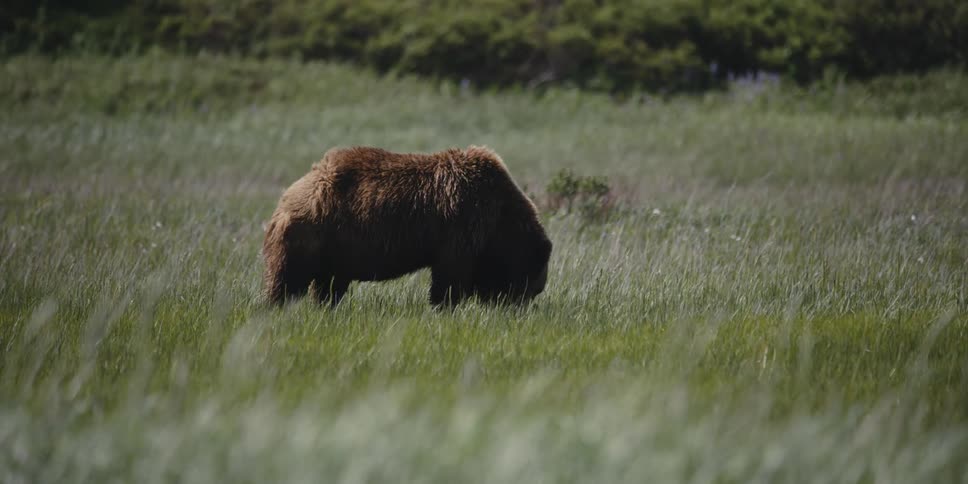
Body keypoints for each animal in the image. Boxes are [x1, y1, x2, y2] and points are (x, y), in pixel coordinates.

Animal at [262, 145, 552, 307]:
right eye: (533, 288)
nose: (519, 309)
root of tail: (285, 197)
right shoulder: (464, 222)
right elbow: (449, 275)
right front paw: (443, 306)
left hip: (335, 249)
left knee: (328, 285)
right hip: (310, 232)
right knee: (288, 278)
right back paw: (276, 306)